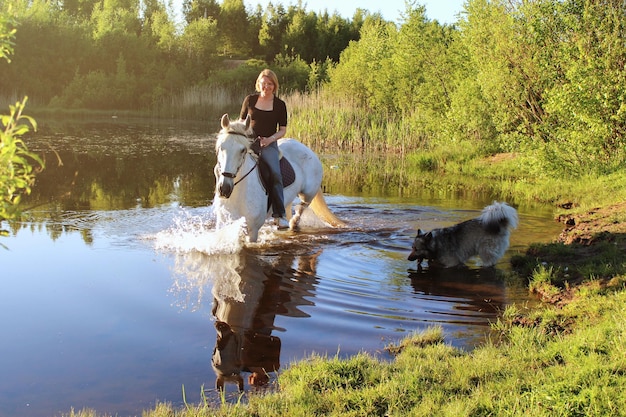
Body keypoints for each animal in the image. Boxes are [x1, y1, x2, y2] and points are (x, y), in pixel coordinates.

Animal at [213, 113, 342, 244]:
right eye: (221, 147)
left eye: (242, 150)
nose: (224, 189)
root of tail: (307, 149)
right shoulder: (225, 225)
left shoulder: (253, 230)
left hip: (308, 193)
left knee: (301, 207)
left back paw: (292, 223)